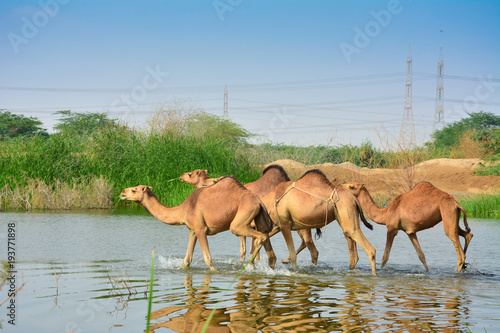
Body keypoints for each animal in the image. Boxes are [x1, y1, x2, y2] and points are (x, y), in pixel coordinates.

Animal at [120, 176, 278, 270]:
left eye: (133, 190)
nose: (122, 192)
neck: (184, 209)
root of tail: (258, 201)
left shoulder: (201, 229)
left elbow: (208, 259)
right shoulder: (192, 230)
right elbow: (186, 260)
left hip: (241, 218)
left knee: (258, 236)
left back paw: (248, 264)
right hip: (259, 216)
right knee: (268, 244)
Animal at [344, 182, 472, 272]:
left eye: (351, 186)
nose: (342, 187)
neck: (385, 212)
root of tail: (456, 203)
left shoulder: (392, 229)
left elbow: (385, 256)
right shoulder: (410, 232)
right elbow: (421, 256)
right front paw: (427, 271)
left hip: (447, 211)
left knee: (459, 251)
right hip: (452, 216)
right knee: (467, 234)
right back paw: (465, 265)